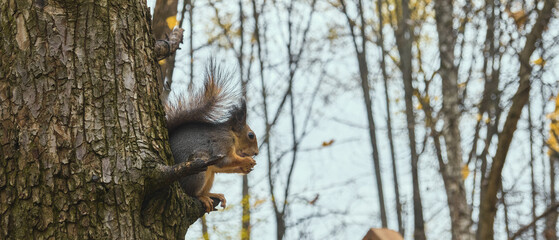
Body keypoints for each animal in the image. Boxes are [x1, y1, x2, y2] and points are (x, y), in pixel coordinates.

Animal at [165, 63, 260, 212]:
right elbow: (225, 161)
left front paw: (245, 168)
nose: (256, 153)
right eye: (251, 135)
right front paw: (247, 161)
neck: (231, 134)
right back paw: (202, 197)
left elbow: (222, 167)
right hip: (197, 168)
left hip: (208, 174)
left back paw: (213, 194)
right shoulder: (221, 143)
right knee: (191, 192)